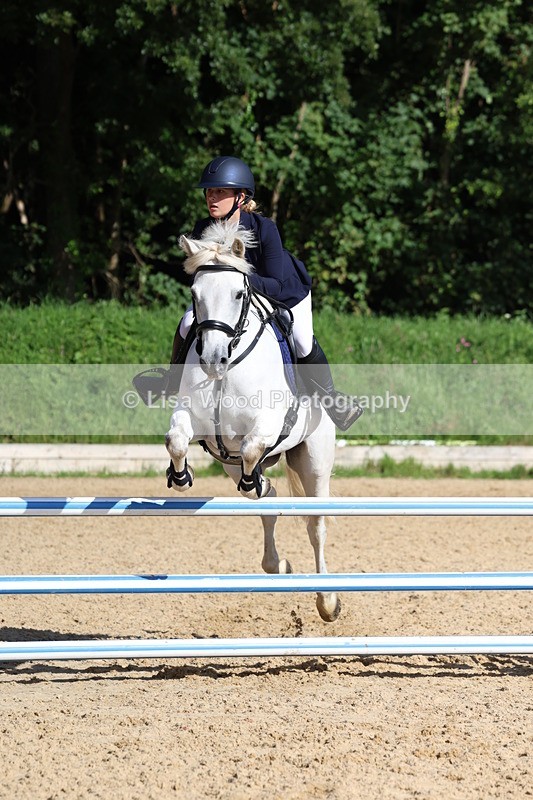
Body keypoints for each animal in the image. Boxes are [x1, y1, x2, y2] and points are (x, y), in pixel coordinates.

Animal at [165, 219, 340, 621]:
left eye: (238, 293)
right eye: (194, 293)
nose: (212, 360)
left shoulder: (267, 422)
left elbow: (252, 446)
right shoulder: (194, 419)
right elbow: (177, 440)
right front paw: (180, 476)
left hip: (315, 459)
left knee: (316, 525)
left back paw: (328, 602)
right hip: (227, 464)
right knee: (267, 499)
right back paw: (279, 563)